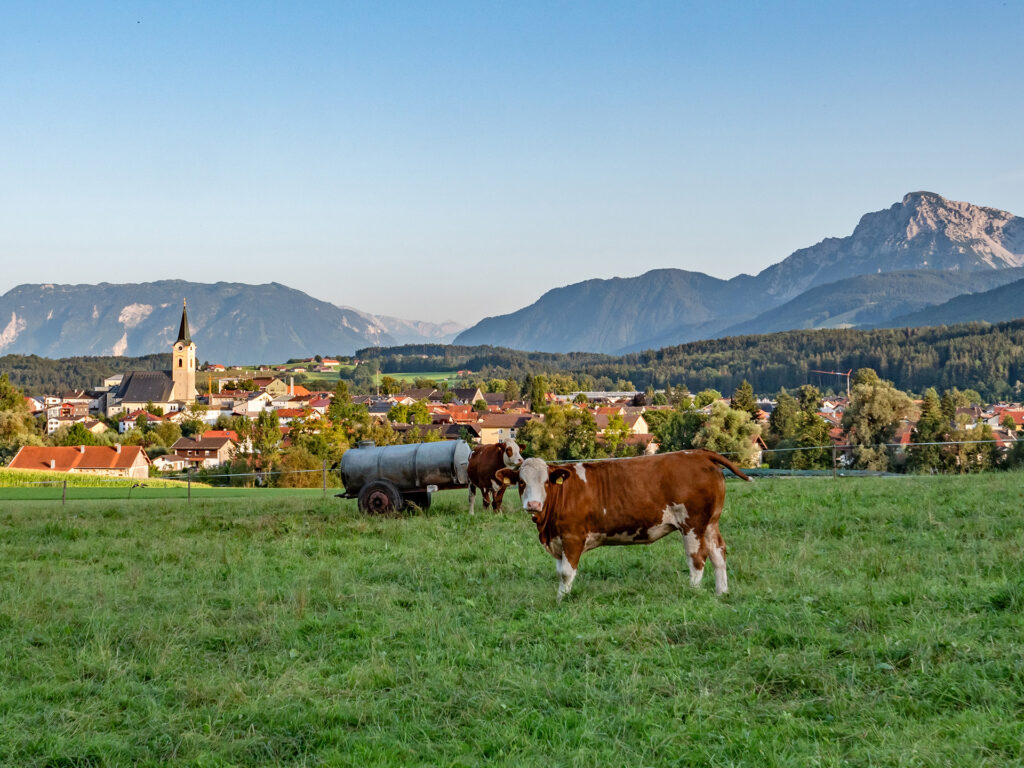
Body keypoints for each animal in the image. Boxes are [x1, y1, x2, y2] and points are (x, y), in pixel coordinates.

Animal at [495, 450, 751, 600]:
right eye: (521, 482)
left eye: (546, 482)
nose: (533, 504)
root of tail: (697, 453)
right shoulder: (558, 541)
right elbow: (560, 572)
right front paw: (560, 597)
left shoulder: (572, 537)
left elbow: (567, 573)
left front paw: (563, 600)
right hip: (710, 523)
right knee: (718, 553)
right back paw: (721, 592)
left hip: (693, 524)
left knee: (697, 557)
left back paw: (693, 591)